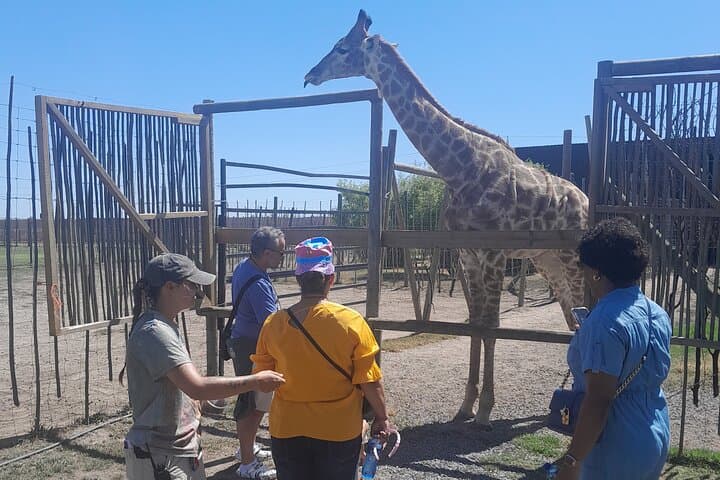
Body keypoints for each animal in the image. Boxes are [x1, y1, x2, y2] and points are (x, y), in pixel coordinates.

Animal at [305, 10, 588, 427]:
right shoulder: (467, 255)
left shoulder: (493, 256)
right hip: (546, 260)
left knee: (583, 315)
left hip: (572, 260)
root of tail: (586, 201)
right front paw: (466, 405)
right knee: (572, 317)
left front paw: (485, 408)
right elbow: (474, 326)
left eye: (341, 47)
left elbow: (491, 327)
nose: (310, 74)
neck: (460, 168)